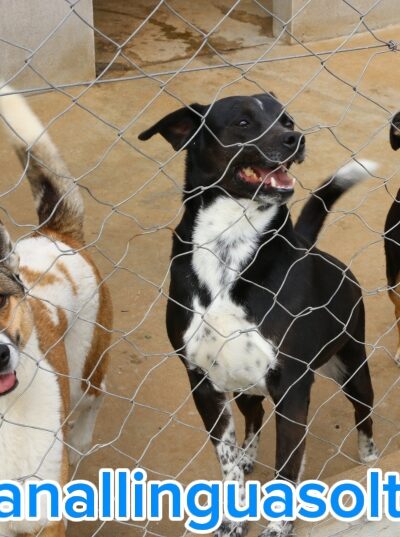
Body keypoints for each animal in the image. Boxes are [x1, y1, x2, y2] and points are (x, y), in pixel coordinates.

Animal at [139, 93, 379, 537]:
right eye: (243, 121)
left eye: (287, 120)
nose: (295, 139)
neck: (229, 246)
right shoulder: (203, 384)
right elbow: (227, 460)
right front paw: (233, 518)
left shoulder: (293, 388)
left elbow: (288, 466)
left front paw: (278, 526)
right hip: (243, 383)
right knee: (254, 416)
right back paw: (250, 453)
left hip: (353, 367)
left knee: (363, 416)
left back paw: (370, 459)